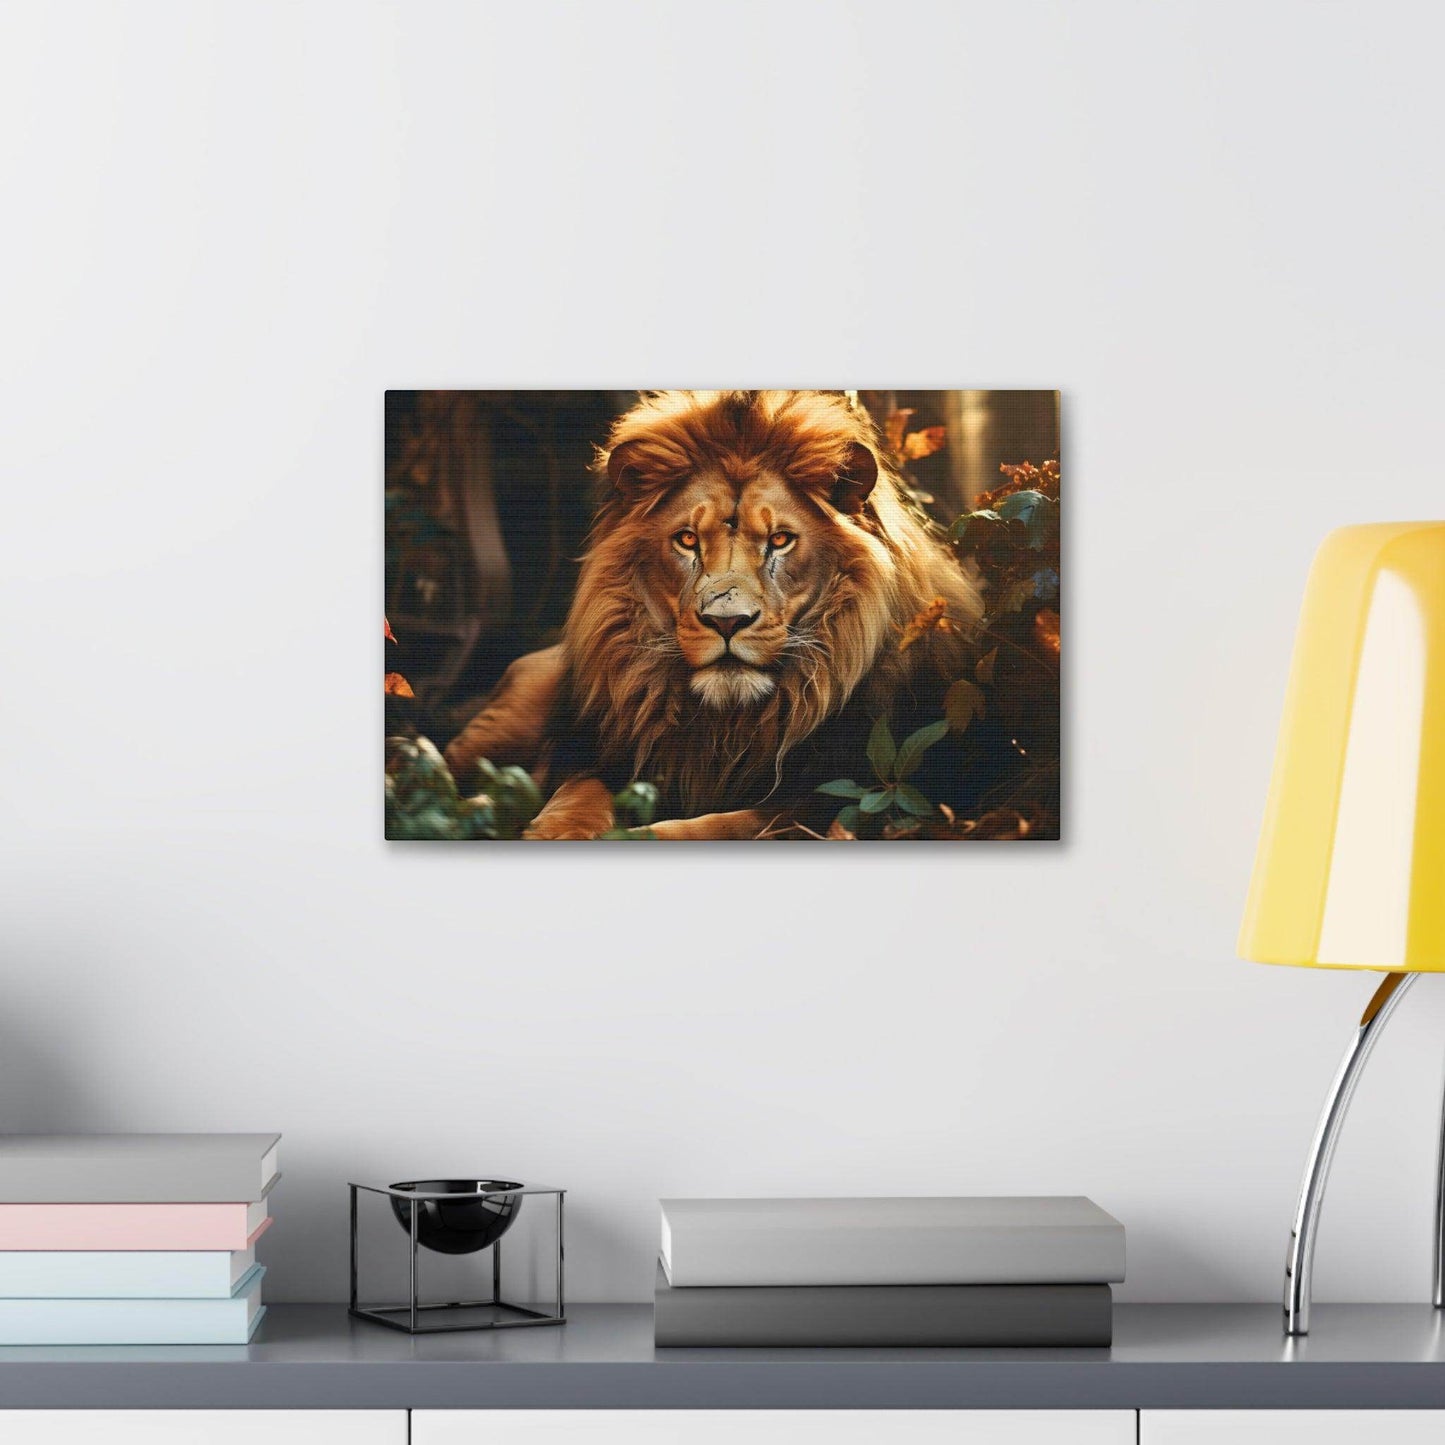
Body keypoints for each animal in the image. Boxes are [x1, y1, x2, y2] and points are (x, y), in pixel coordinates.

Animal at [444, 390, 982, 839]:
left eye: (780, 540)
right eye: (687, 540)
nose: (727, 622)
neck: (726, 724)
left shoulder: (838, 801)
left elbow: (716, 826)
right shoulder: (600, 757)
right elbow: (577, 792)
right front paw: (556, 831)